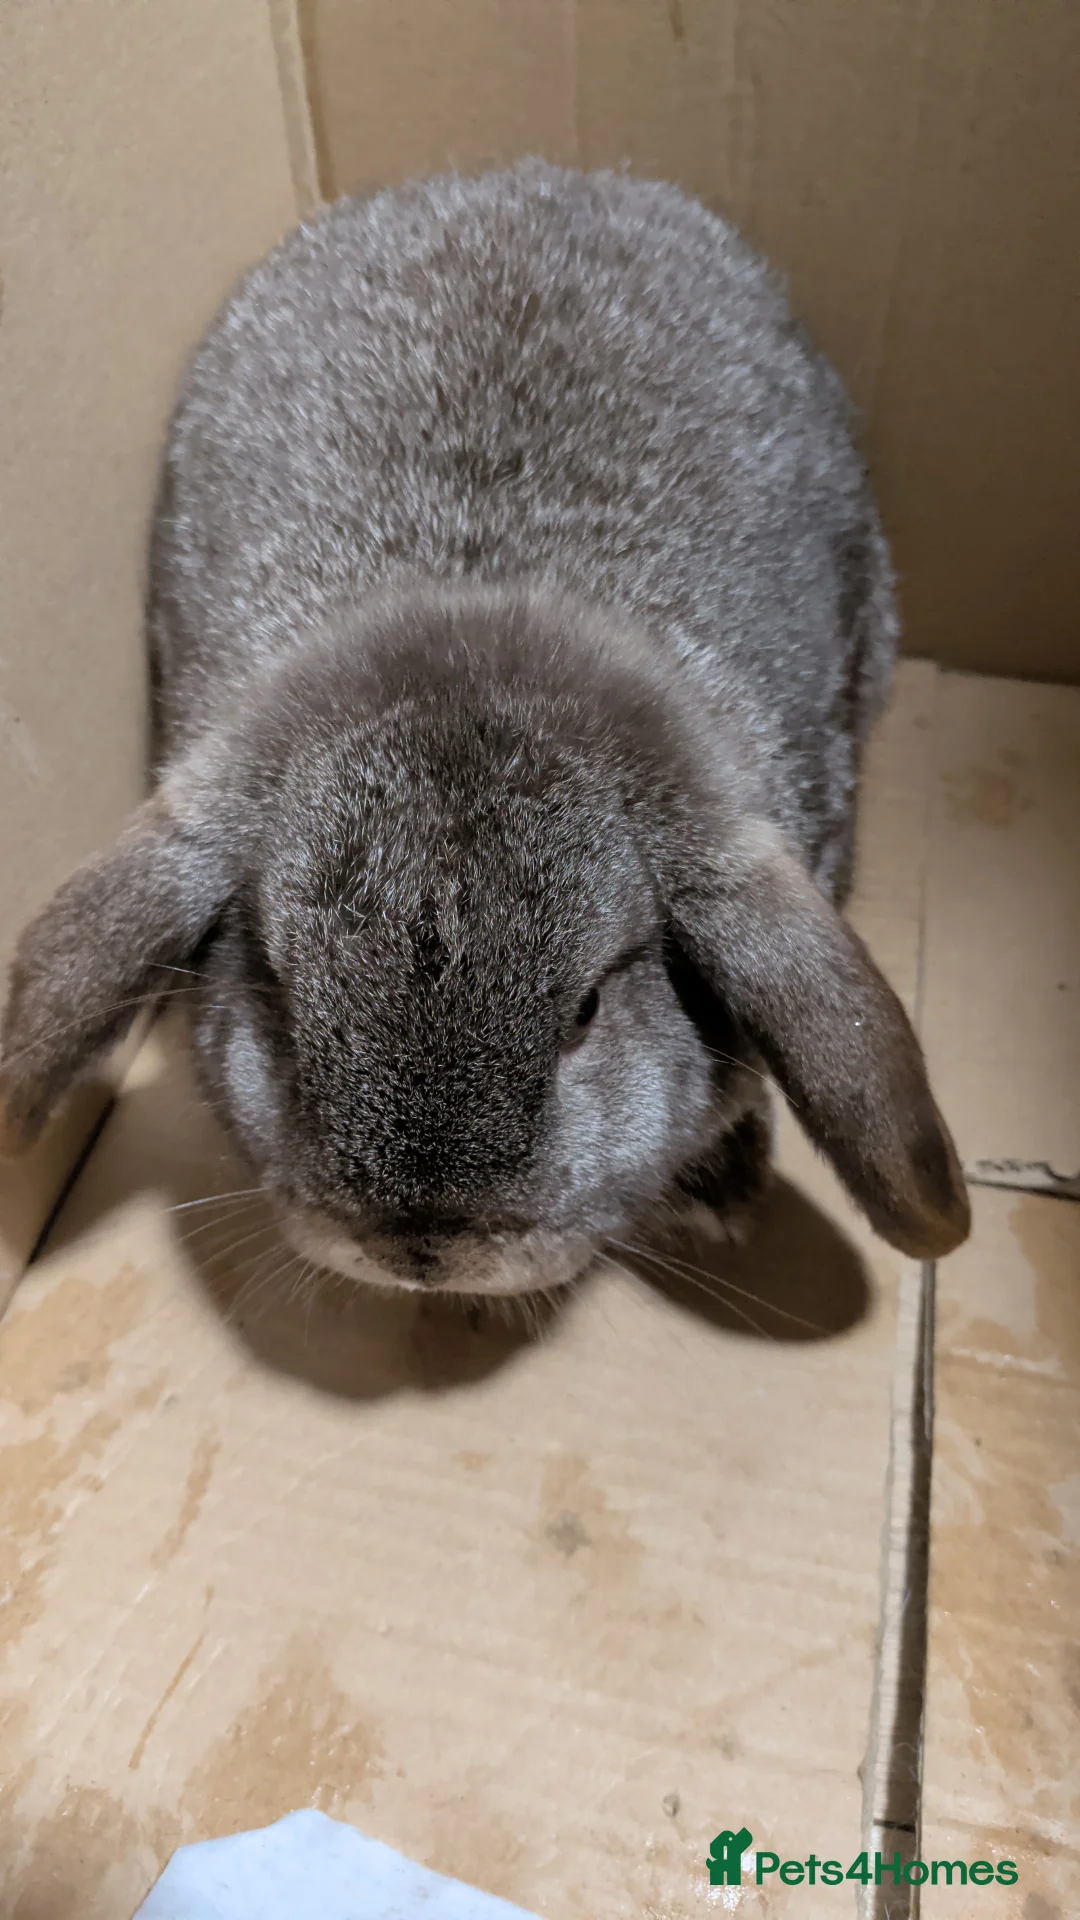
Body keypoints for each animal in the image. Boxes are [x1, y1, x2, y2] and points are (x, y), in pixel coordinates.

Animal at [0, 161, 970, 1295]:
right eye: (277, 991)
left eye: (587, 1009)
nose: (419, 1246)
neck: (481, 609)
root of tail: (538, 174)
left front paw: (725, 1187)